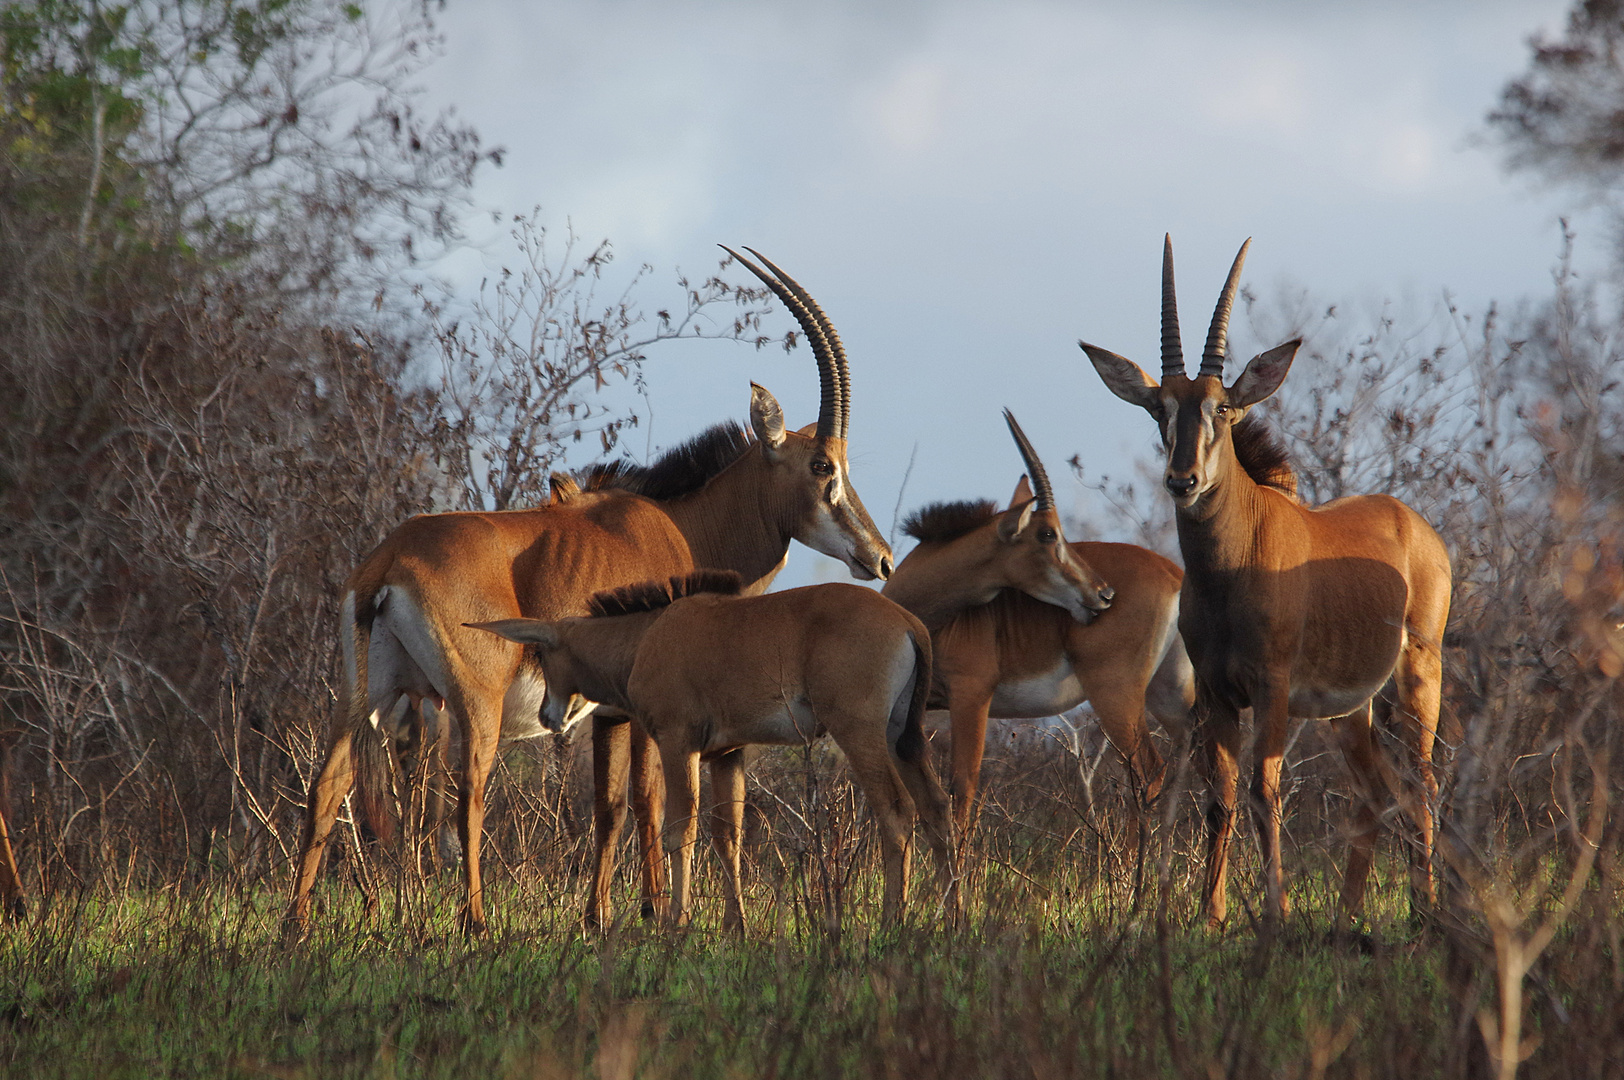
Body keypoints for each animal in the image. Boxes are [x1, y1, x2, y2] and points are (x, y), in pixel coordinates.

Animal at [280, 248, 896, 928]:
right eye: (822, 466)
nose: (881, 558)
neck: (684, 524)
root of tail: (389, 559)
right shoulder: (644, 708)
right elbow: (648, 802)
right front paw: (655, 911)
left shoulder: (608, 712)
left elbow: (610, 809)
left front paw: (599, 916)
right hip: (474, 702)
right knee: (467, 795)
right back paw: (475, 923)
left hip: (363, 692)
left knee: (327, 786)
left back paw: (297, 927)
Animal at [467, 568, 948, 928]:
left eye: (543, 654)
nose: (549, 716)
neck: (646, 636)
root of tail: (909, 624)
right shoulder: (727, 754)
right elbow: (727, 837)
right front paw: (736, 928)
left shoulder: (678, 743)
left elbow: (681, 830)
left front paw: (676, 924)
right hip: (903, 739)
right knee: (936, 807)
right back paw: (953, 918)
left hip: (859, 732)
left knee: (897, 810)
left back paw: (892, 922)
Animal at [883, 410, 1201, 831]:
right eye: (1048, 534)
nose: (1103, 594)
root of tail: (1174, 575)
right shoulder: (902, 713)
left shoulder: (971, 694)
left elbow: (961, 788)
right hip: (1170, 695)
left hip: (1116, 693)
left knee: (1148, 771)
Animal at [1084, 235, 1455, 928]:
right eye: (1157, 408)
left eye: (1223, 408)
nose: (1182, 481)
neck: (1229, 572)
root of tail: (1415, 525)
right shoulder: (1217, 693)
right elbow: (1221, 797)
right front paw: (1211, 914)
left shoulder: (1272, 686)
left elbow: (1264, 790)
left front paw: (1275, 911)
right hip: (1353, 708)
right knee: (1374, 789)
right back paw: (1346, 916)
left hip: (1418, 673)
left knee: (1422, 783)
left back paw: (1426, 911)